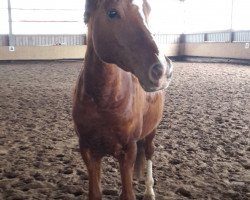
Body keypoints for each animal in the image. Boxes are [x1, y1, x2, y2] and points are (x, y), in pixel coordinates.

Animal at [73, 0, 172, 200]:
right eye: (112, 13)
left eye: (148, 10)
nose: (163, 70)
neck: (104, 101)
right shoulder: (88, 150)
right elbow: (96, 192)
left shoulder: (128, 151)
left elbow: (128, 193)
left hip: (151, 132)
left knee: (149, 152)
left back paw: (149, 191)